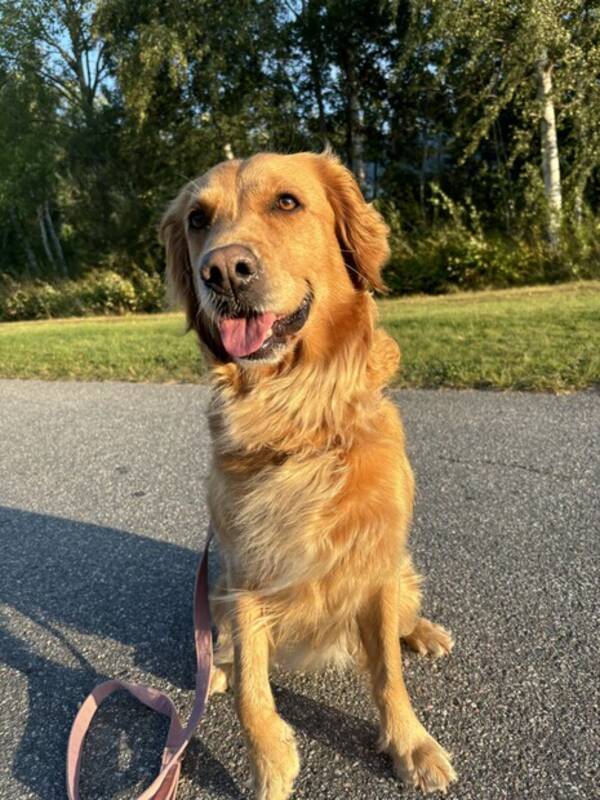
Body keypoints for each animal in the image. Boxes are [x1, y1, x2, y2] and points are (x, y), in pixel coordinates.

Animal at [159, 152, 454, 800]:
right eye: (198, 219)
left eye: (287, 203)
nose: (223, 271)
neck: (297, 413)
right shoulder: (244, 573)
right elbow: (252, 691)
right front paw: (269, 763)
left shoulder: (375, 563)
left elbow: (389, 675)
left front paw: (411, 745)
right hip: (216, 590)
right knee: (227, 654)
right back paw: (215, 669)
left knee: (403, 618)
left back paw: (423, 631)